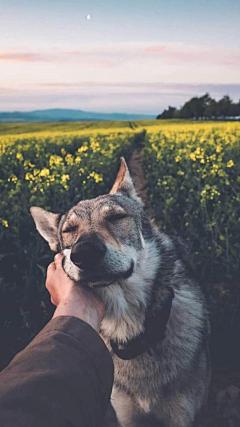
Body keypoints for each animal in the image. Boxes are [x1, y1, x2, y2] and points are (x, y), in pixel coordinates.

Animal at [30, 159, 210, 426]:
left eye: (116, 217)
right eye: (69, 230)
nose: (84, 252)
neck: (131, 332)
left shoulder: (181, 416)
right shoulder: (126, 415)